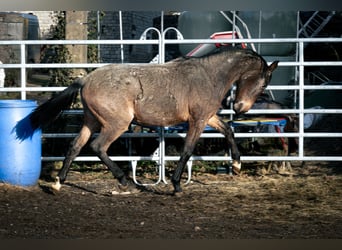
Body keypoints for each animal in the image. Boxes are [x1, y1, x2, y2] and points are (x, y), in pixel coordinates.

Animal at [27, 47, 278, 193]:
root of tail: (86, 79)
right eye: (264, 83)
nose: (240, 108)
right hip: (117, 124)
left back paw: (58, 183)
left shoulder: (207, 116)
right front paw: (176, 186)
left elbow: (228, 130)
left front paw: (236, 165)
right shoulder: (197, 120)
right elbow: (187, 150)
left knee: (75, 146)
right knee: (97, 147)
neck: (209, 76)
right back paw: (124, 181)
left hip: (91, 121)